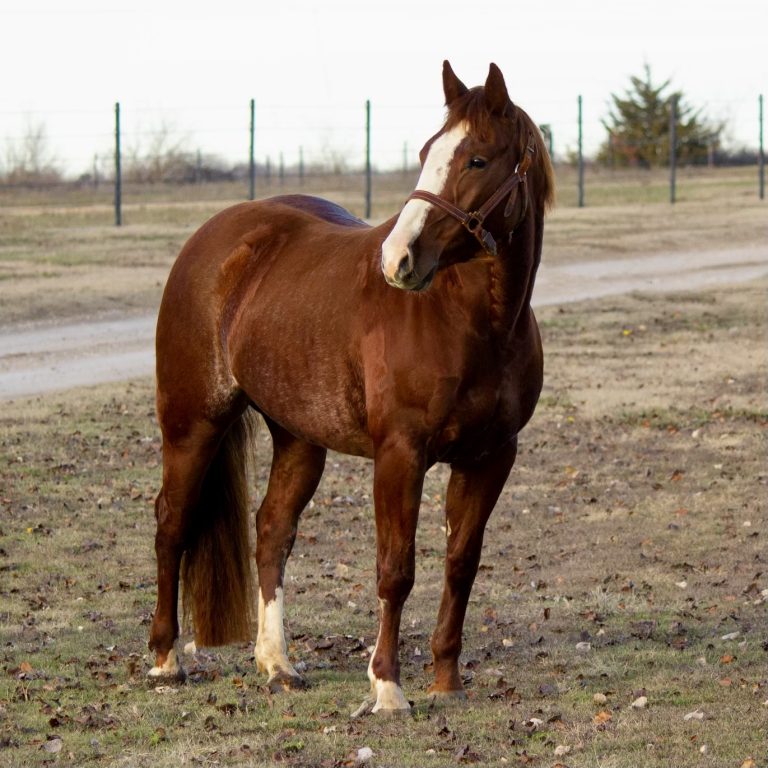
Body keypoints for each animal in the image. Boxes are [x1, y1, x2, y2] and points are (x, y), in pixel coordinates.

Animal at [148, 60, 555, 715]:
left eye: (476, 159)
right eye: (427, 152)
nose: (398, 260)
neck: (469, 321)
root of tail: (216, 238)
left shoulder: (492, 457)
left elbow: (461, 564)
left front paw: (446, 680)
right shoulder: (399, 455)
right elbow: (396, 569)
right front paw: (387, 687)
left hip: (298, 437)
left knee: (271, 531)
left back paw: (278, 664)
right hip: (192, 426)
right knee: (172, 525)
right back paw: (164, 659)